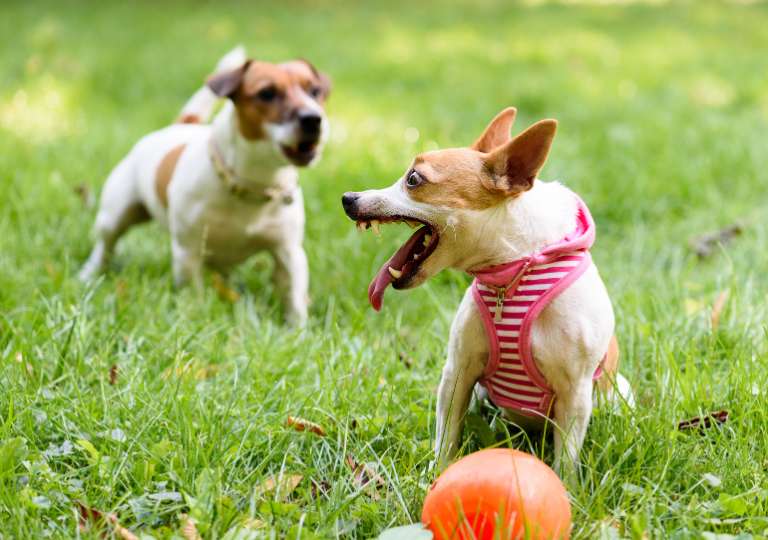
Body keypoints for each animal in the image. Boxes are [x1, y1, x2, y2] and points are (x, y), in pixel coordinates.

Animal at [80, 47, 330, 324]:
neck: (251, 186)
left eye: (315, 91)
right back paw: (89, 273)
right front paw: (196, 316)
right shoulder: (187, 252)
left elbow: (294, 297)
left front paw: (297, 330)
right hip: (115, 215)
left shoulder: (289, 253)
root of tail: (179, 126)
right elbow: (193, 294)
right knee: (105, 244)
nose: (313, 119)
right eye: (267, 93)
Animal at [342, 106, 632, 472]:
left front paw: (567, 485)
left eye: (413, 179)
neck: (510, 273)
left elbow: (566, 458)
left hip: (615, 394)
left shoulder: (575, 394)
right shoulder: (458, 373)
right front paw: (438, 473)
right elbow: (446, 435)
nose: (348, 198)